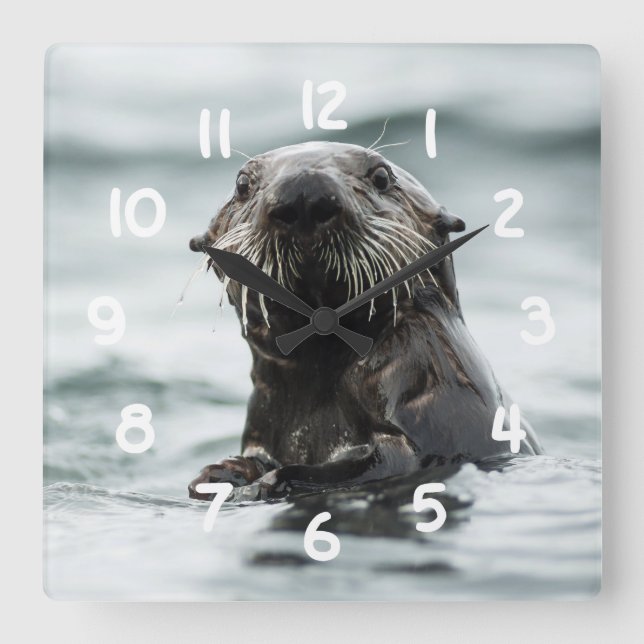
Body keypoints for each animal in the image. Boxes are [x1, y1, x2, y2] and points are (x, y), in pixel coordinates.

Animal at [187, 141, 542, 501]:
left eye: (381, 176)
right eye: (242, 184)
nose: (303, 193)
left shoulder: (425, 377)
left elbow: (388, 461)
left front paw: (266, 482)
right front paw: (221, 473)